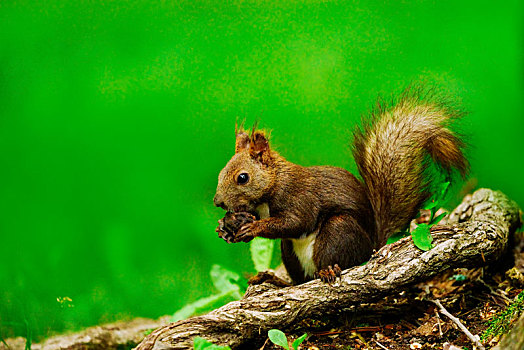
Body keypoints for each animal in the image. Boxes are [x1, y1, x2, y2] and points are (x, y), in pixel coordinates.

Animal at [212, 87, 466, 284]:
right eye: (222, 172)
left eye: (242, 177)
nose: (217, 202)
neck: (273, 185)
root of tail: (374, 245)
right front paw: (224, 227)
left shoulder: (300, 197)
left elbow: (295, 222)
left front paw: (253, 228)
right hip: (290, 253)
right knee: (299, 280)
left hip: (338, 231)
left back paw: (328, 270)